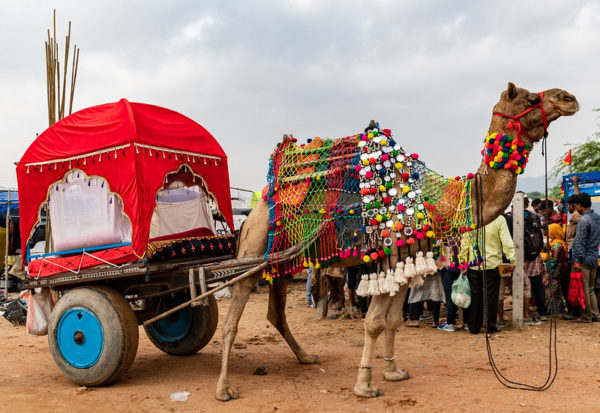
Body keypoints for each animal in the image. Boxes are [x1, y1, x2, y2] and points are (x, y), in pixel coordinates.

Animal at [214, 82, 576, 400]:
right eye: (530, 97)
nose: (568, 98)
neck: (435, 201)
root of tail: (256, 208)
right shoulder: (387, 257)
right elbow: (374, 322)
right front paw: (365, 386)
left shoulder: (405, 259)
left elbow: (392, 320)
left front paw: (393, 371)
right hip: (254, 246)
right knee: (232, 318)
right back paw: (224, 388)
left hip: (282, 260)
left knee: (276, 312)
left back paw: (306, 357)